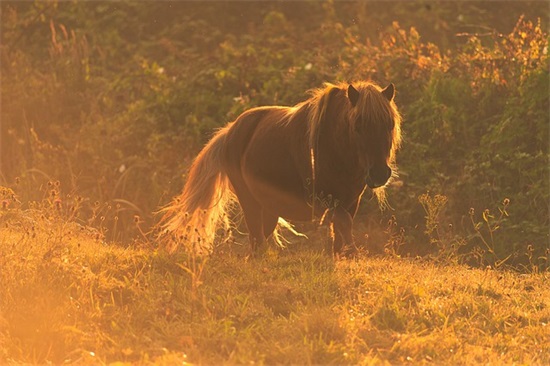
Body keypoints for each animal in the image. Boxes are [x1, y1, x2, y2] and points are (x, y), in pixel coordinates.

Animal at [162, 81, 404, 256]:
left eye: (389, 124)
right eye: (358, 126)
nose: (379, 173)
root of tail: (230, 131)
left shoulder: (350, 201)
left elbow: (342, 231)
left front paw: (344, 255)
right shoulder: (330, 199)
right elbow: (343, 225)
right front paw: (352, 252)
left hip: (268, 207)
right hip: (249, 201)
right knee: (256, 241)